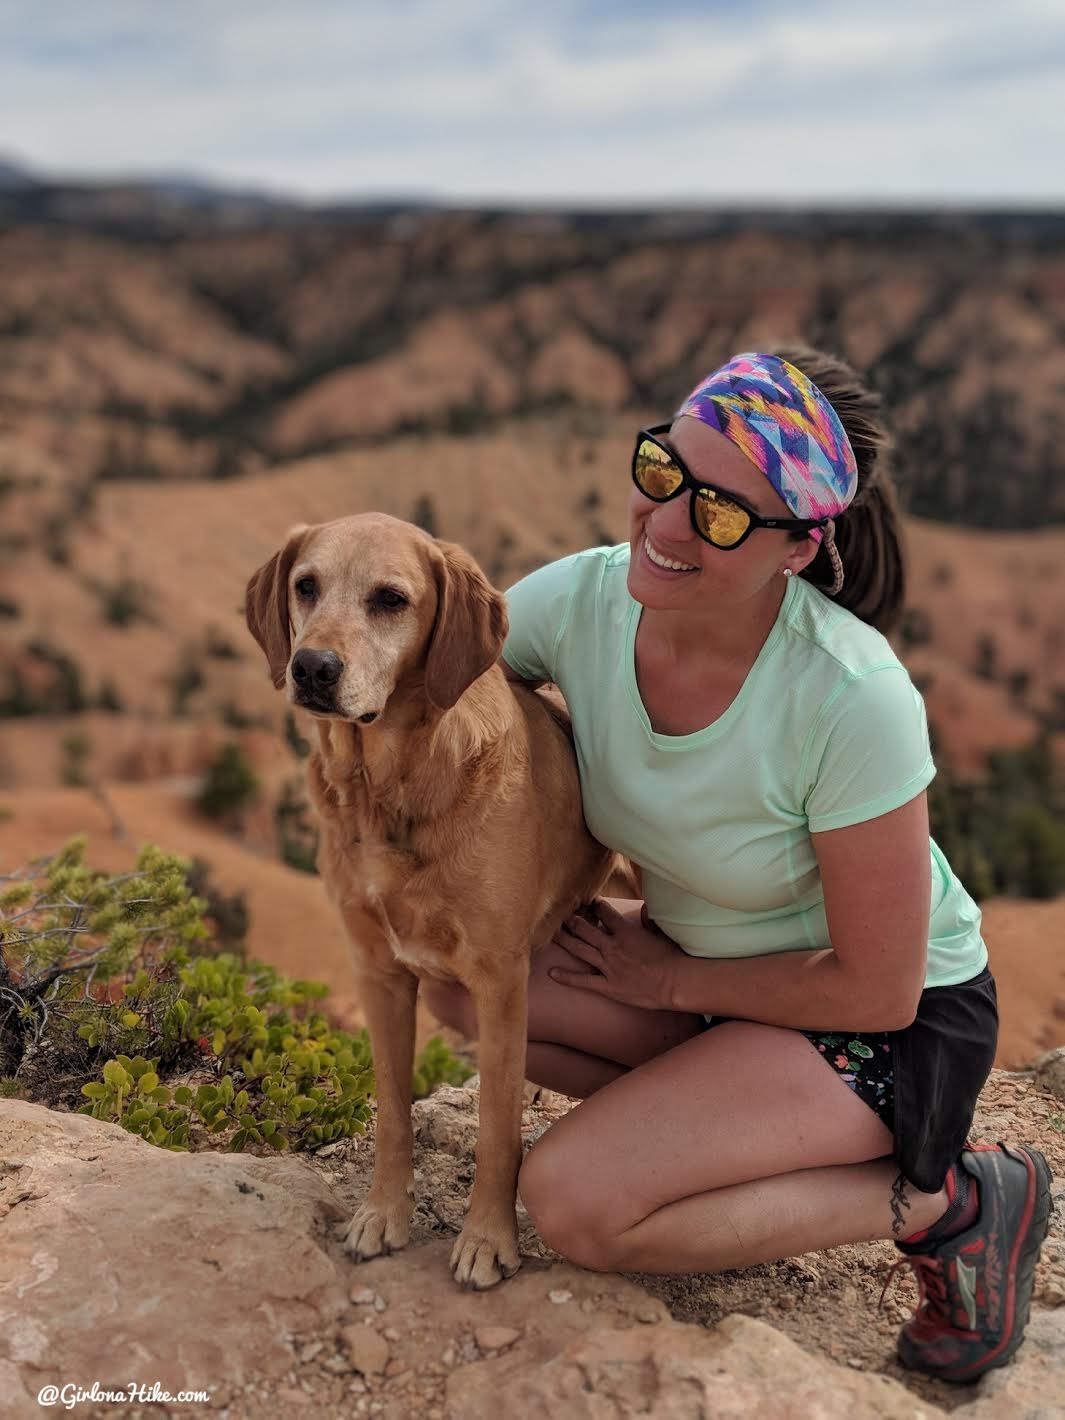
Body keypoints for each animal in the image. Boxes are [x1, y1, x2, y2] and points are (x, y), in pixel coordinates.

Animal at [247, 516, 616, 1295]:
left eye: (390, 599)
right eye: (306, 586)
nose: (313, 667)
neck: (389, 787)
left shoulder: (501, 982)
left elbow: (497, 1126)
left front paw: (486, 1241)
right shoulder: (379, 973)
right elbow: (392, 1111)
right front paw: (383, 1215)